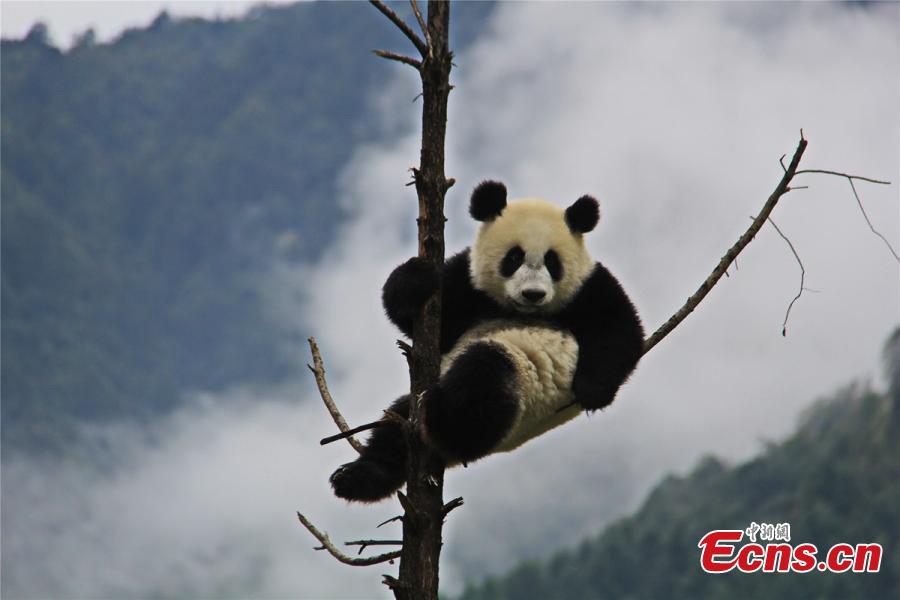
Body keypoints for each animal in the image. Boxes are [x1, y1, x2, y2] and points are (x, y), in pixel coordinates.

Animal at [330, 180, 644, 502]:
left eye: (552, 261)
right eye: (514, 258)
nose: (533, 294)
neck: (518, 310)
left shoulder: (590, 285)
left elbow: (621, 329)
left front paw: (593, 391)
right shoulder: (470, 284)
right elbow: (428, 320)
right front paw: (416, 278)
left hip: (520, 386)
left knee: (483, 376)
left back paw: (445, 419)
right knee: (394, 427)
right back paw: (359, 478)